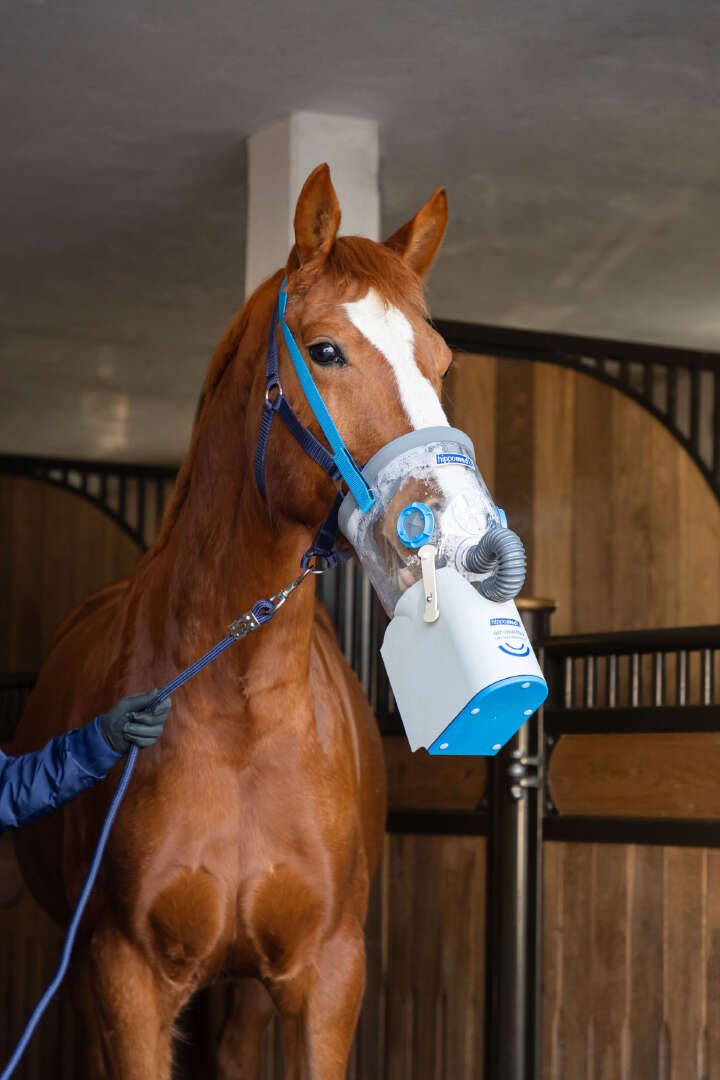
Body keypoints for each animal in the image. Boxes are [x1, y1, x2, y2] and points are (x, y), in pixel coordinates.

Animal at [13, 163, 451, 1079]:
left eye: (441, 363)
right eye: (325, 350)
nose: (453, 523)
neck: (243, 716)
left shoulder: (327, 977)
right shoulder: (125, 979)